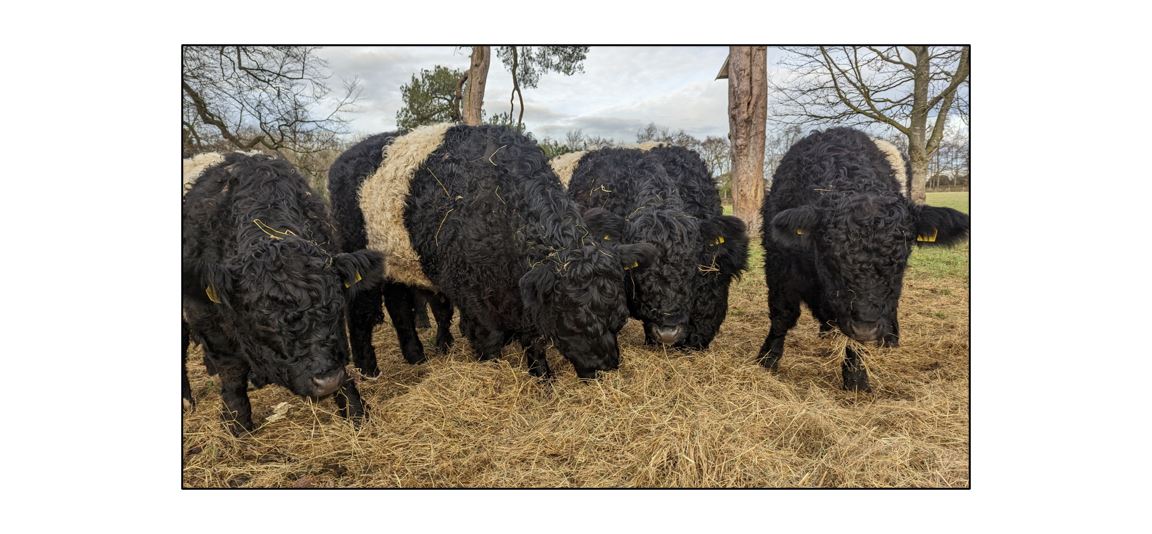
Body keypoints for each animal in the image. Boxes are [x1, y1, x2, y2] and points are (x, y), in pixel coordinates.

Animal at [182, 152, 384, 435]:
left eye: (335, 308)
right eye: (264, 321)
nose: (327, 380)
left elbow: (341, 357)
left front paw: (356, 412)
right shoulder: (209, 323)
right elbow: (232, 377)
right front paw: (237, 426)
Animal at [328, 123, 657, 379]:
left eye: (620, 320)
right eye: (576, 323)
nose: (605, 369)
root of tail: (343, 157)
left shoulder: (520, 289)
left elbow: (532, 336)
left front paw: (542, 375)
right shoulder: (470, 294)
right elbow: (490, 338)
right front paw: (490, 367)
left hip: (397, 266)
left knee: (398, 307)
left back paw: (415, 356)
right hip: (362, 258)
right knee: (361, 312)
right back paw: (368, 368)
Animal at [756, 128, 969, 391]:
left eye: (901, 260)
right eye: (831, 257)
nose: (866, 328)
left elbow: (854, 340)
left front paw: (857, 378)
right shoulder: (779, 264)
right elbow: (782, 314)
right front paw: (767, 359)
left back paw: (889, 339)